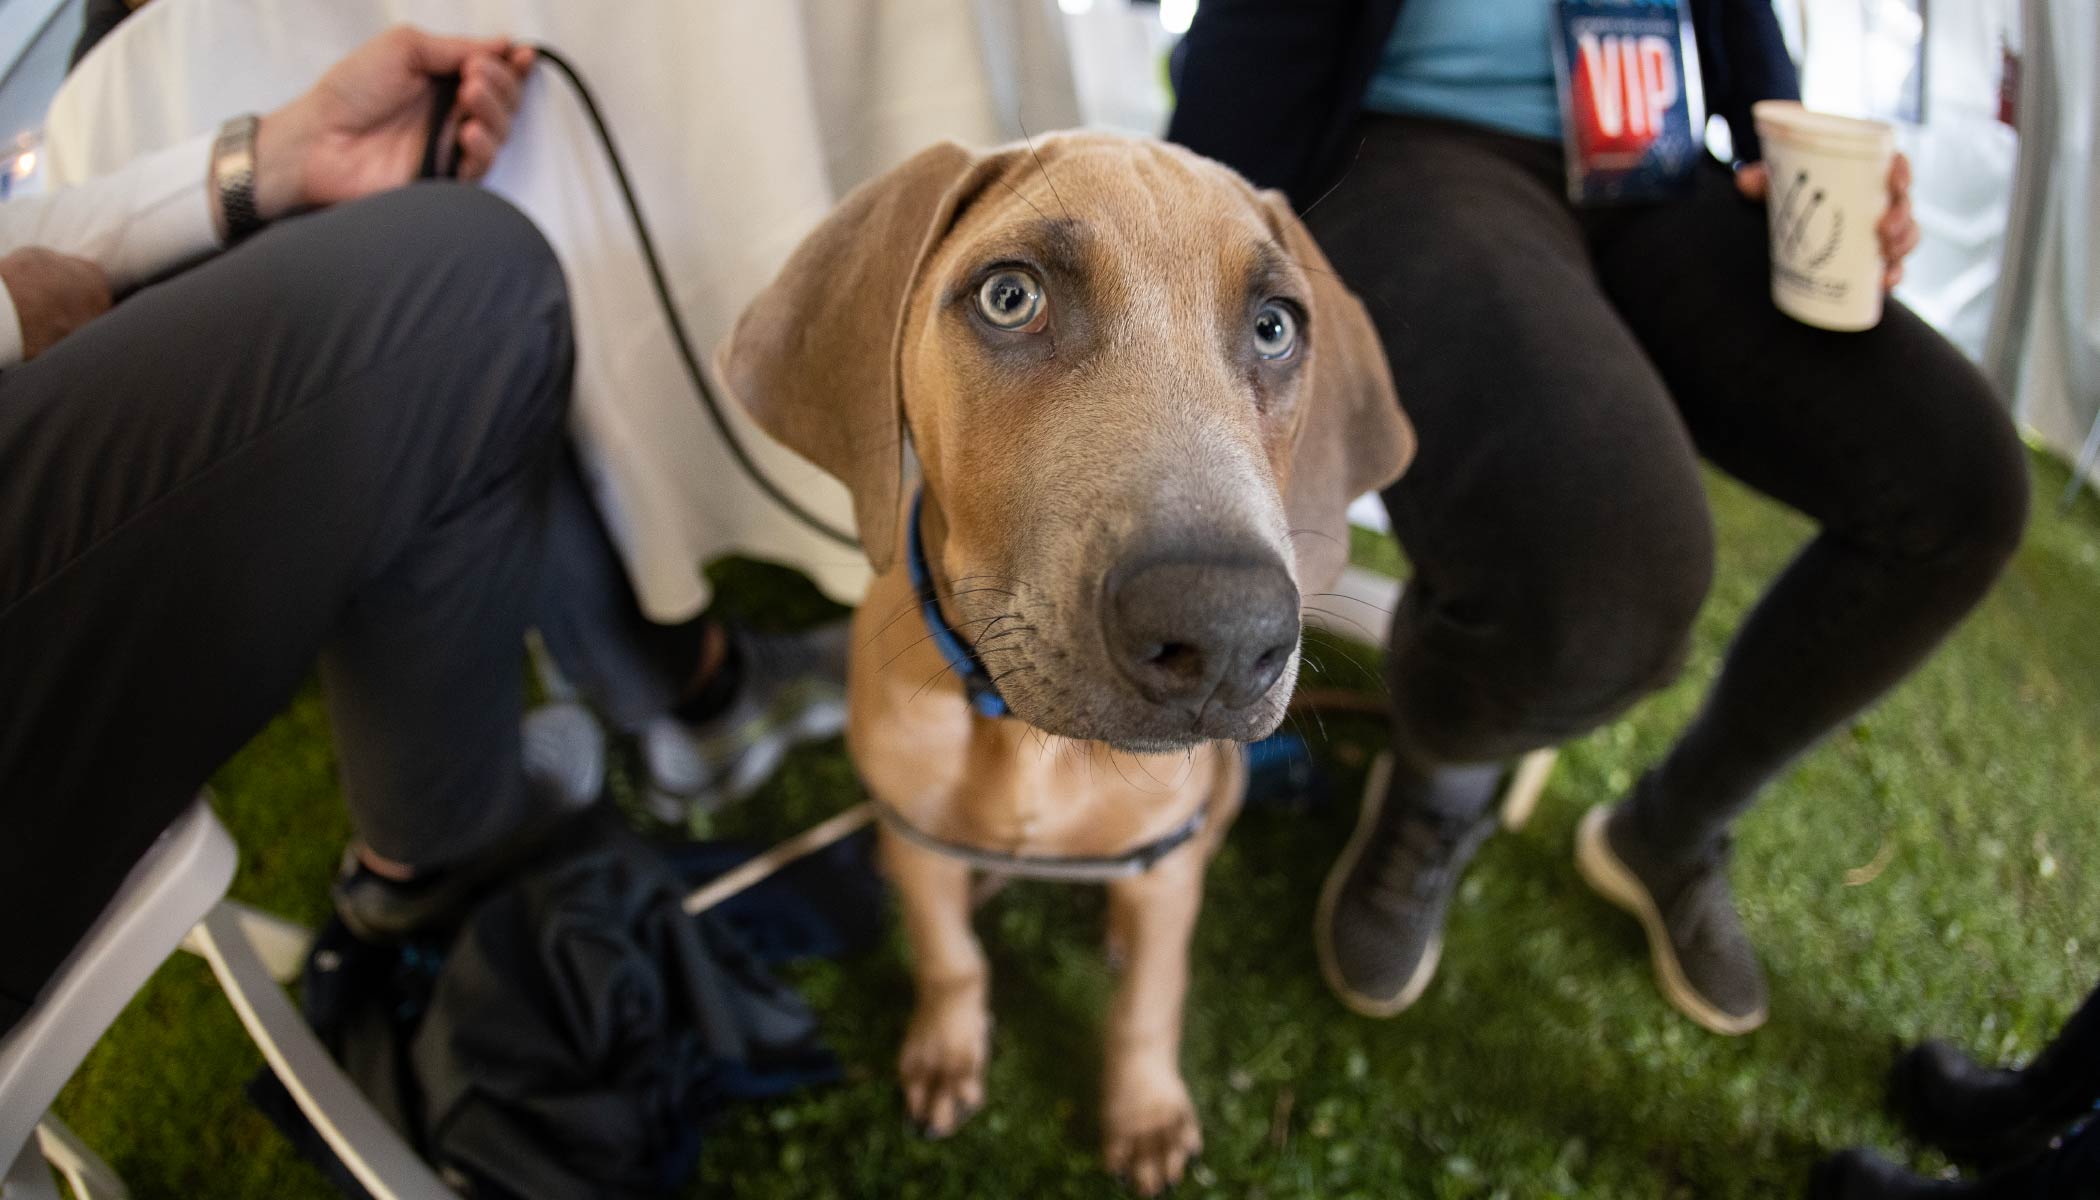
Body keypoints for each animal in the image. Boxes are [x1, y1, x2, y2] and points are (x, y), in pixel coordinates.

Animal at [717, 131, 1413, 1194]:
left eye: (1274, 328)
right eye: (1011, 297)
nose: (1225, 637)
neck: (1025, 738)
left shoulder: (1164, 863)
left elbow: (1151, 1003)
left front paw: (1146, 1113)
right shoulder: (915, 832)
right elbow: (948, 955)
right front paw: (947, 1050)